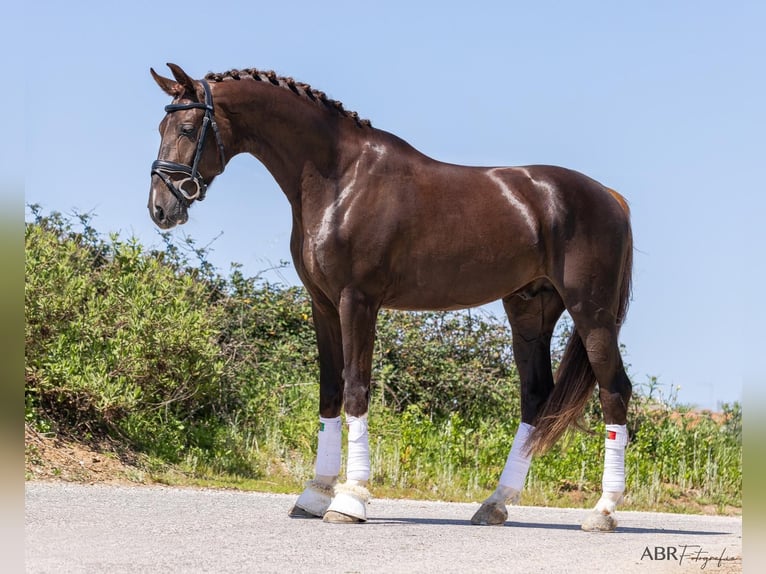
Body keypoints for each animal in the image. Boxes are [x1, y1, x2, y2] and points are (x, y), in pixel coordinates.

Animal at [148, 64, 636, 532]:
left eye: (188, 128)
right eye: (161, 127)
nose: (160, 208)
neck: (340, 178)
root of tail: (611, 198)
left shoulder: (357, 301)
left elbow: (356, 390)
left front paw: (350, 500)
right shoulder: (322, 304)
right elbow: (330, 391)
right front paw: (315, 494)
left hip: (591, 313)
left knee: (614, 392)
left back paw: (603, 511)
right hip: (529, 310)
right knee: (535, 398)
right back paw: (495, 504)